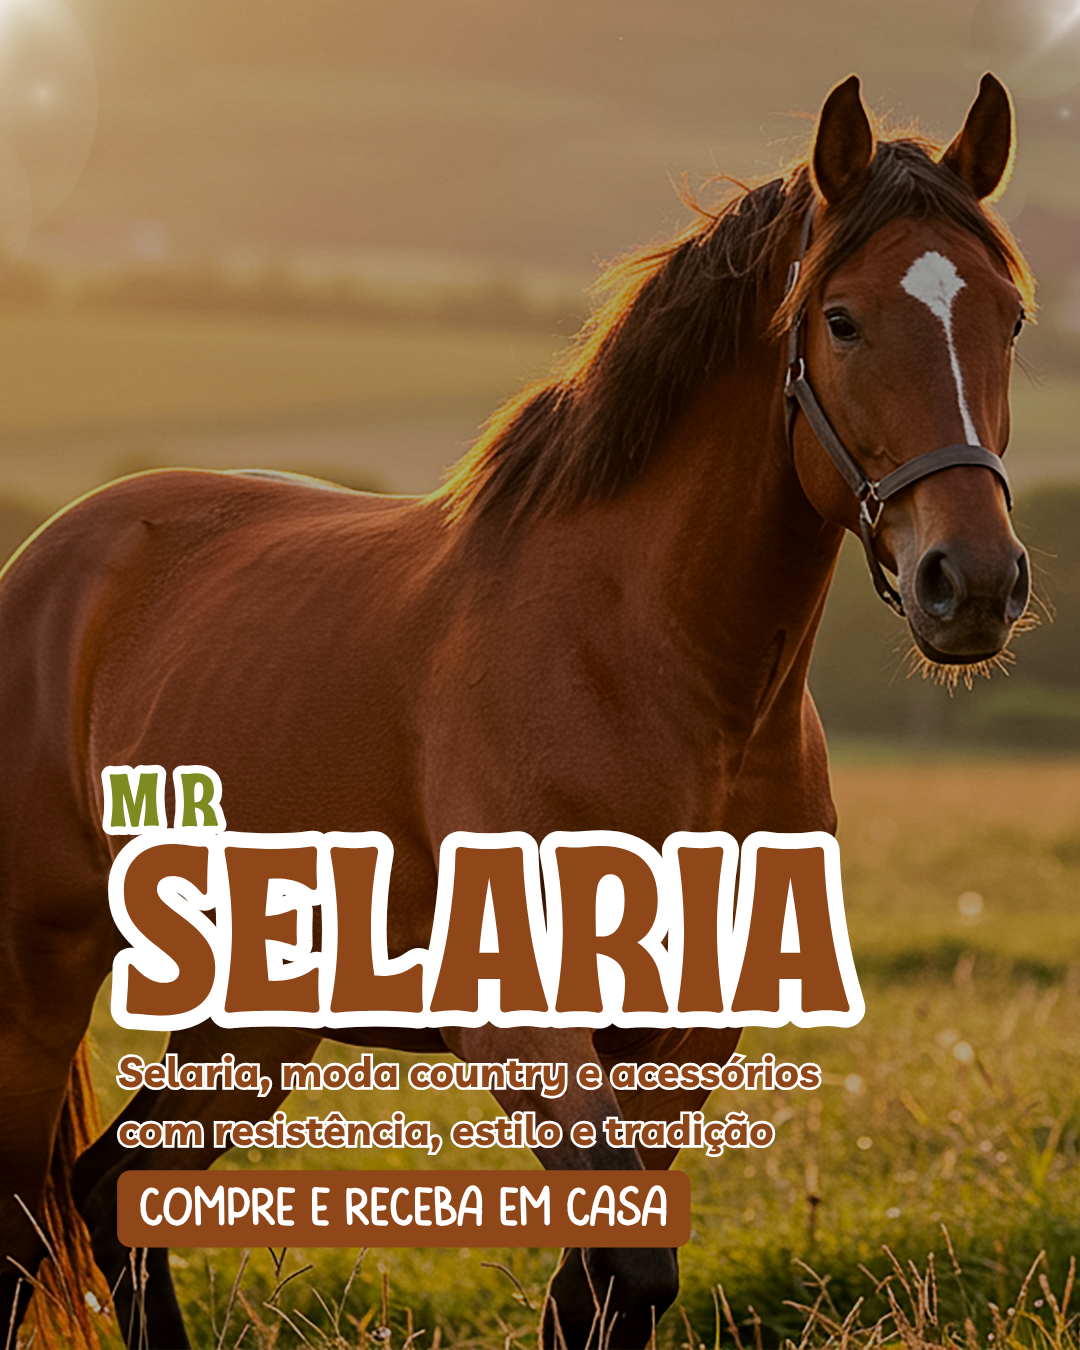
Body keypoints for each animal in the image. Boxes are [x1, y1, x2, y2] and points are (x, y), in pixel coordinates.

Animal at [0, 73, 1035, 1349]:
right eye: (841, 319)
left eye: (1010, 320)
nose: (972, 584)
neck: (664, 674)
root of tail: (57, 558)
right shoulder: (524, 1017)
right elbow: (619, 1269)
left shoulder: (686, 1032)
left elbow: (603, 1285)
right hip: (40, 969)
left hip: (252, 1010)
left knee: (116, 1187)